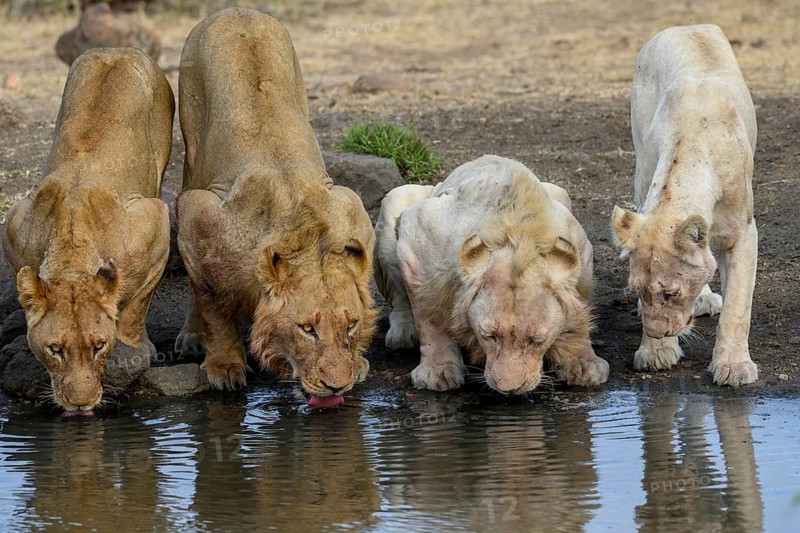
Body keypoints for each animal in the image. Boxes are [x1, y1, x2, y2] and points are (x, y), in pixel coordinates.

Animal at [1, 48, 174, 414]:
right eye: (55, 349)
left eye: (99, 346)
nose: (80, 405)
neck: (70, 242)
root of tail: (116, 49)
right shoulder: (13, 227)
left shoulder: (157, 223)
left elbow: (135, 309)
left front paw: (137, 348)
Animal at [175, 8, 376, 404]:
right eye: (307, 329)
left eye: (351, 324)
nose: (337, 386)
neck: (307, 235)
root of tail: (236, 10)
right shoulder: (197, 215)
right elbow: (212, 305)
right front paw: (225, 366)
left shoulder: (354, 208)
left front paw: (359, 360)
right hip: (192, 156)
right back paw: (192, 336)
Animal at [375, 155, 609, 394]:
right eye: (489, 336)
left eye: (536, 339)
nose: (510, 389)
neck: (519, 237)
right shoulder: (418, 237)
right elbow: (430, 315)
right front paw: (438, 371)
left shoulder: (582, 250)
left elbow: (579, 309)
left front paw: (583, 364)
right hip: (394, 201)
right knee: (399, 299)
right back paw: (403, 335)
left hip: (560, 192)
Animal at [612, 25, 759, 386]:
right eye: (639, 291)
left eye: (672, 294)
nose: (655, 332)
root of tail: (685, 26)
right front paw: (654, 352)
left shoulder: (743, 233)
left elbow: (737, 307)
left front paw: (734, 367)